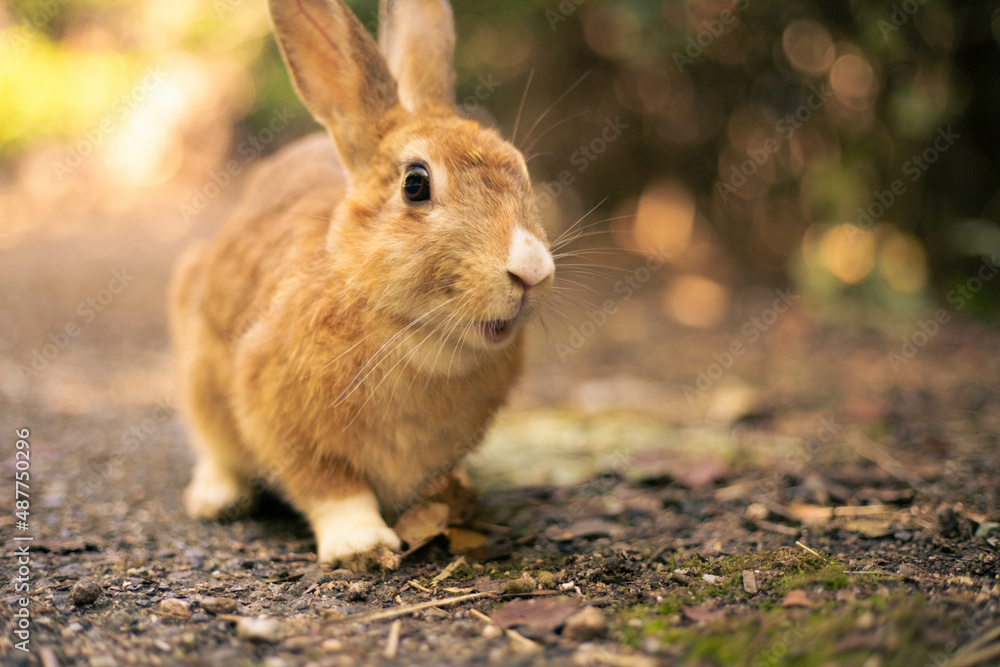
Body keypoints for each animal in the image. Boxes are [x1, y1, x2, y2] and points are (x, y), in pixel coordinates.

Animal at [168, 0, 555, 571]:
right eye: (415, 183)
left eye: (521, 168)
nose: (531, 269)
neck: (409, 331)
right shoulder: (280, 418)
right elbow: (329, 487)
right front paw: (363, 546)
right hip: (198, 364)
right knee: (213, 444)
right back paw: (218, 499)